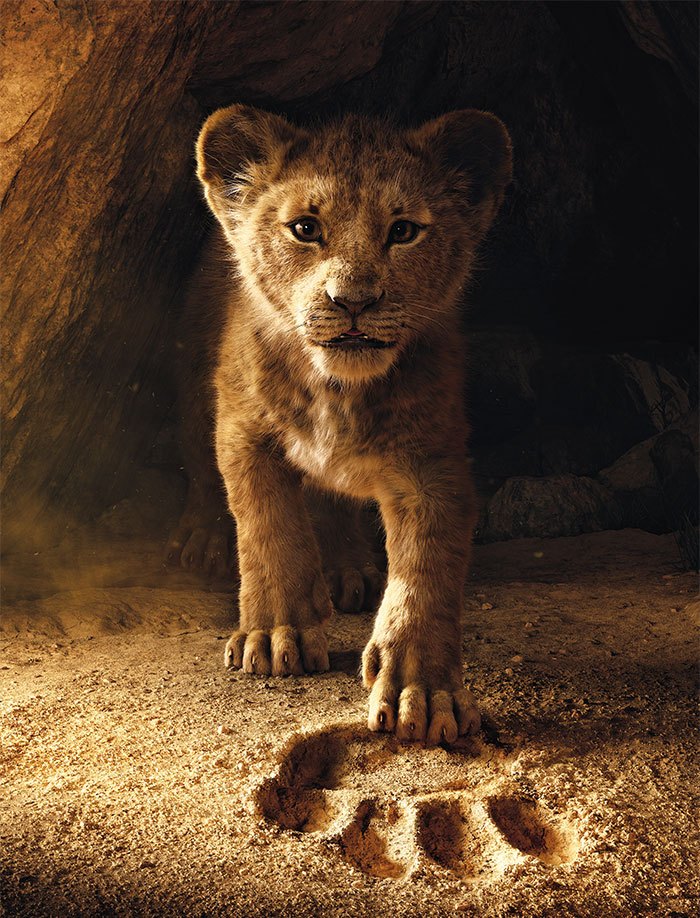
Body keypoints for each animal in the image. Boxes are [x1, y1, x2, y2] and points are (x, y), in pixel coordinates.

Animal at [166, 104, 512, 744]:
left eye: (403, 231)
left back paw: (349, 570)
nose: (353, 300)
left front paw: (422, 691)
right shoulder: (244, 430)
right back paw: (201, 539)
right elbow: (268, 528)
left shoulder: (433, 464)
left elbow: (426, 570)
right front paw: (275, 634)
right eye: (305, 228)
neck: (338, 389)